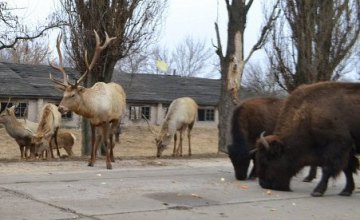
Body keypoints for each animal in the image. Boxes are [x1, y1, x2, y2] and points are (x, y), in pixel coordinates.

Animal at [48, 30, 125, 169]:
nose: (60, 108)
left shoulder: (106, 120)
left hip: (118, 117)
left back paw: (112, 158)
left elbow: (106, 139)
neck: (94, 110)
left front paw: (108, 164)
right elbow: (94, 140)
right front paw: (91, 161)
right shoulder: (92, 122)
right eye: (63, 94)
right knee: (101, 137)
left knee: (111, 135)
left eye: (73, 95)